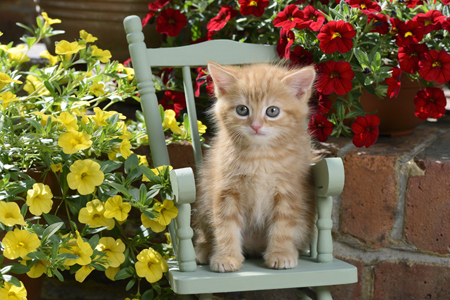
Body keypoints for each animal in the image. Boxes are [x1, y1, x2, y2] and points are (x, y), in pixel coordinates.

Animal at [193, 62, 316, 274]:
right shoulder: (226, 189)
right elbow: (225, 226)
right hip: (204, 200)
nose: (256, 126)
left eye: (272, 111)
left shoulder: (289, 190)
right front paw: (226, 257)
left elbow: (283, 225)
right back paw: (204, 249)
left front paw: (280, 253)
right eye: (242, 110)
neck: (259, 156)